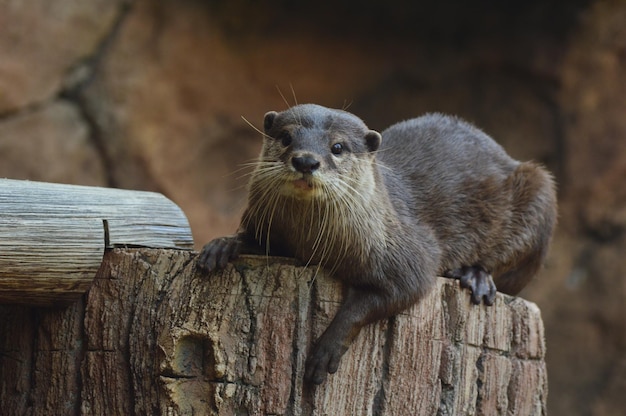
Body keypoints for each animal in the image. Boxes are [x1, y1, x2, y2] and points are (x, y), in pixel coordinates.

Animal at [196, 103, 556, 384]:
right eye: (286, 137)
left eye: (337, 147)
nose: (306, 161)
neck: (310, 245)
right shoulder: (267, 224)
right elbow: (255, 241)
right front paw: (223, 246)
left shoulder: (407, 258)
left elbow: (384, 297)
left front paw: (326, 349)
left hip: (540, 191)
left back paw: (475, 276)